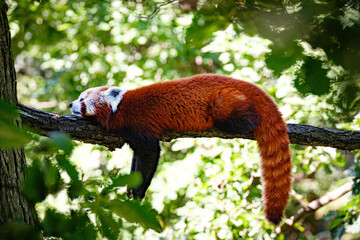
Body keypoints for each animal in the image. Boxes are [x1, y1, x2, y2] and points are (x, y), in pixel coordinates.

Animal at [70, 74, 292, 225]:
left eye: (82, 100)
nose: (71, 103)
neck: (119, 109)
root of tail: (247, 86)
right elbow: (137, 159)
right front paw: (130, 188)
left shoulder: (139, 125)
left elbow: (150, 154)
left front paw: (139, 192)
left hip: (224, 100)